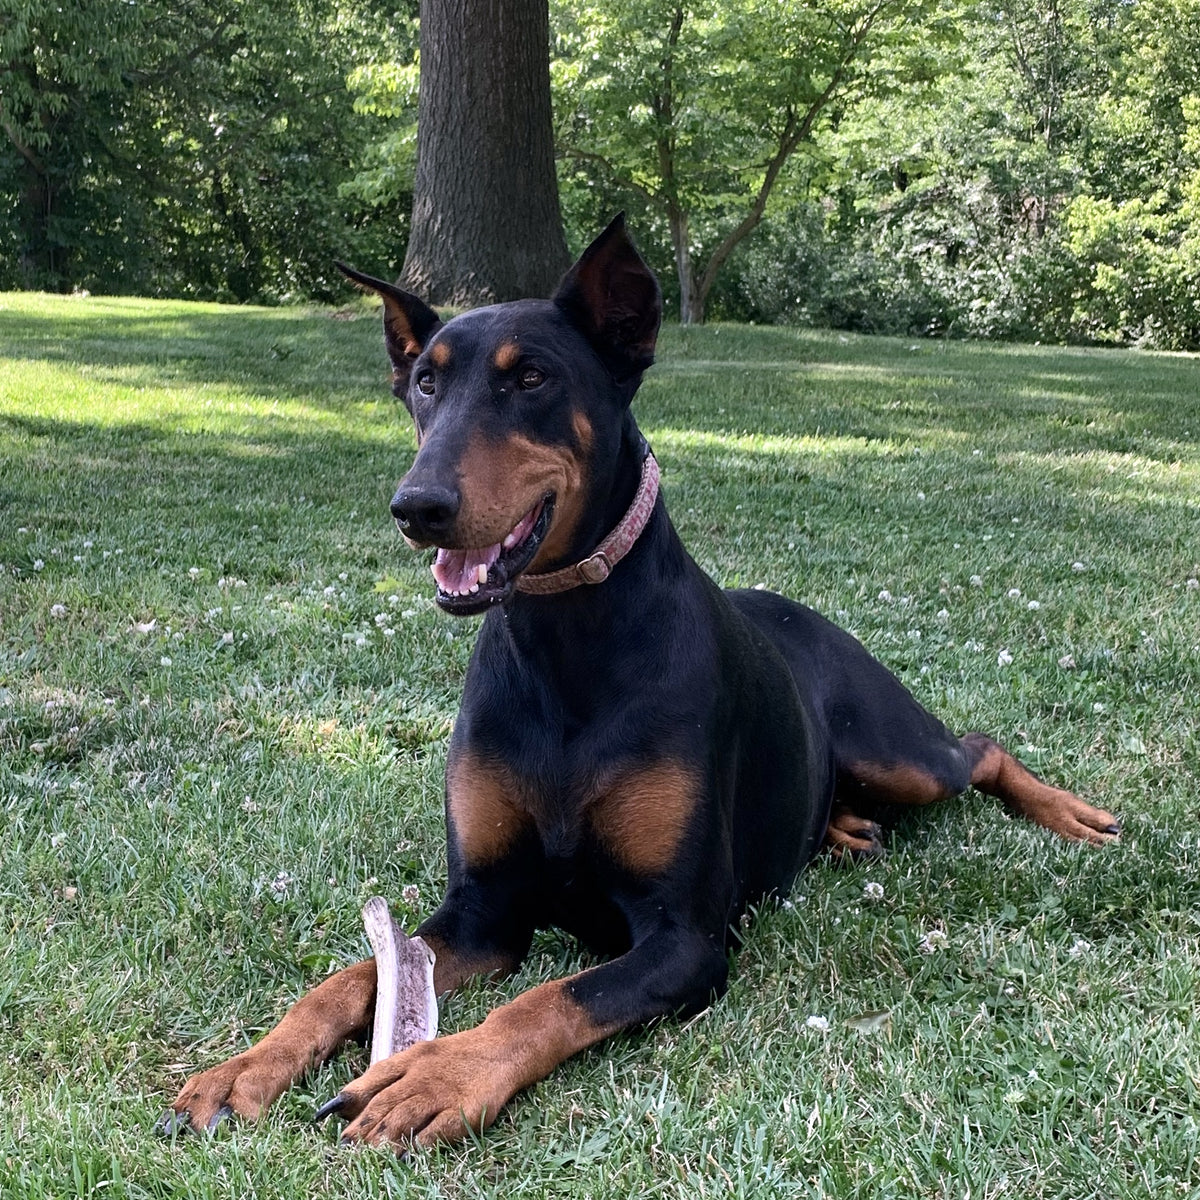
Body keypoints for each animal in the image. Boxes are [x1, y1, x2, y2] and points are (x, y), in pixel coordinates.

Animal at [157, 213, 1113, 1142]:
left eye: (531, 377)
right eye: (423, 384)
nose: (417, 506)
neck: (567, 644)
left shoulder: (682, 938)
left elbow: (550, 999)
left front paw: (435, 1076)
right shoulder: (482, 908)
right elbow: (349, 978)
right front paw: (245, 1066)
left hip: (899, 752)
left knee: (978, 749)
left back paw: (1073, 816)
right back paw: (844, 831)